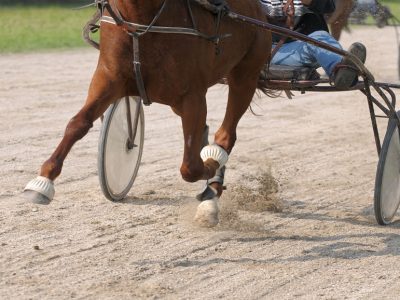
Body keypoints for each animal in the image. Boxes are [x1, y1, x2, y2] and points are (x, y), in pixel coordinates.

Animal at [22, 0, 272, 227]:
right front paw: (42, 182)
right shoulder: (107, 79)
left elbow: (190, 167)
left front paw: (210, 166)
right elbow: (78, 124)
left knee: (226, 134)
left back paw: (213, 185)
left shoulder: (193, 96)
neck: (141, 20)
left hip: (245, 76)